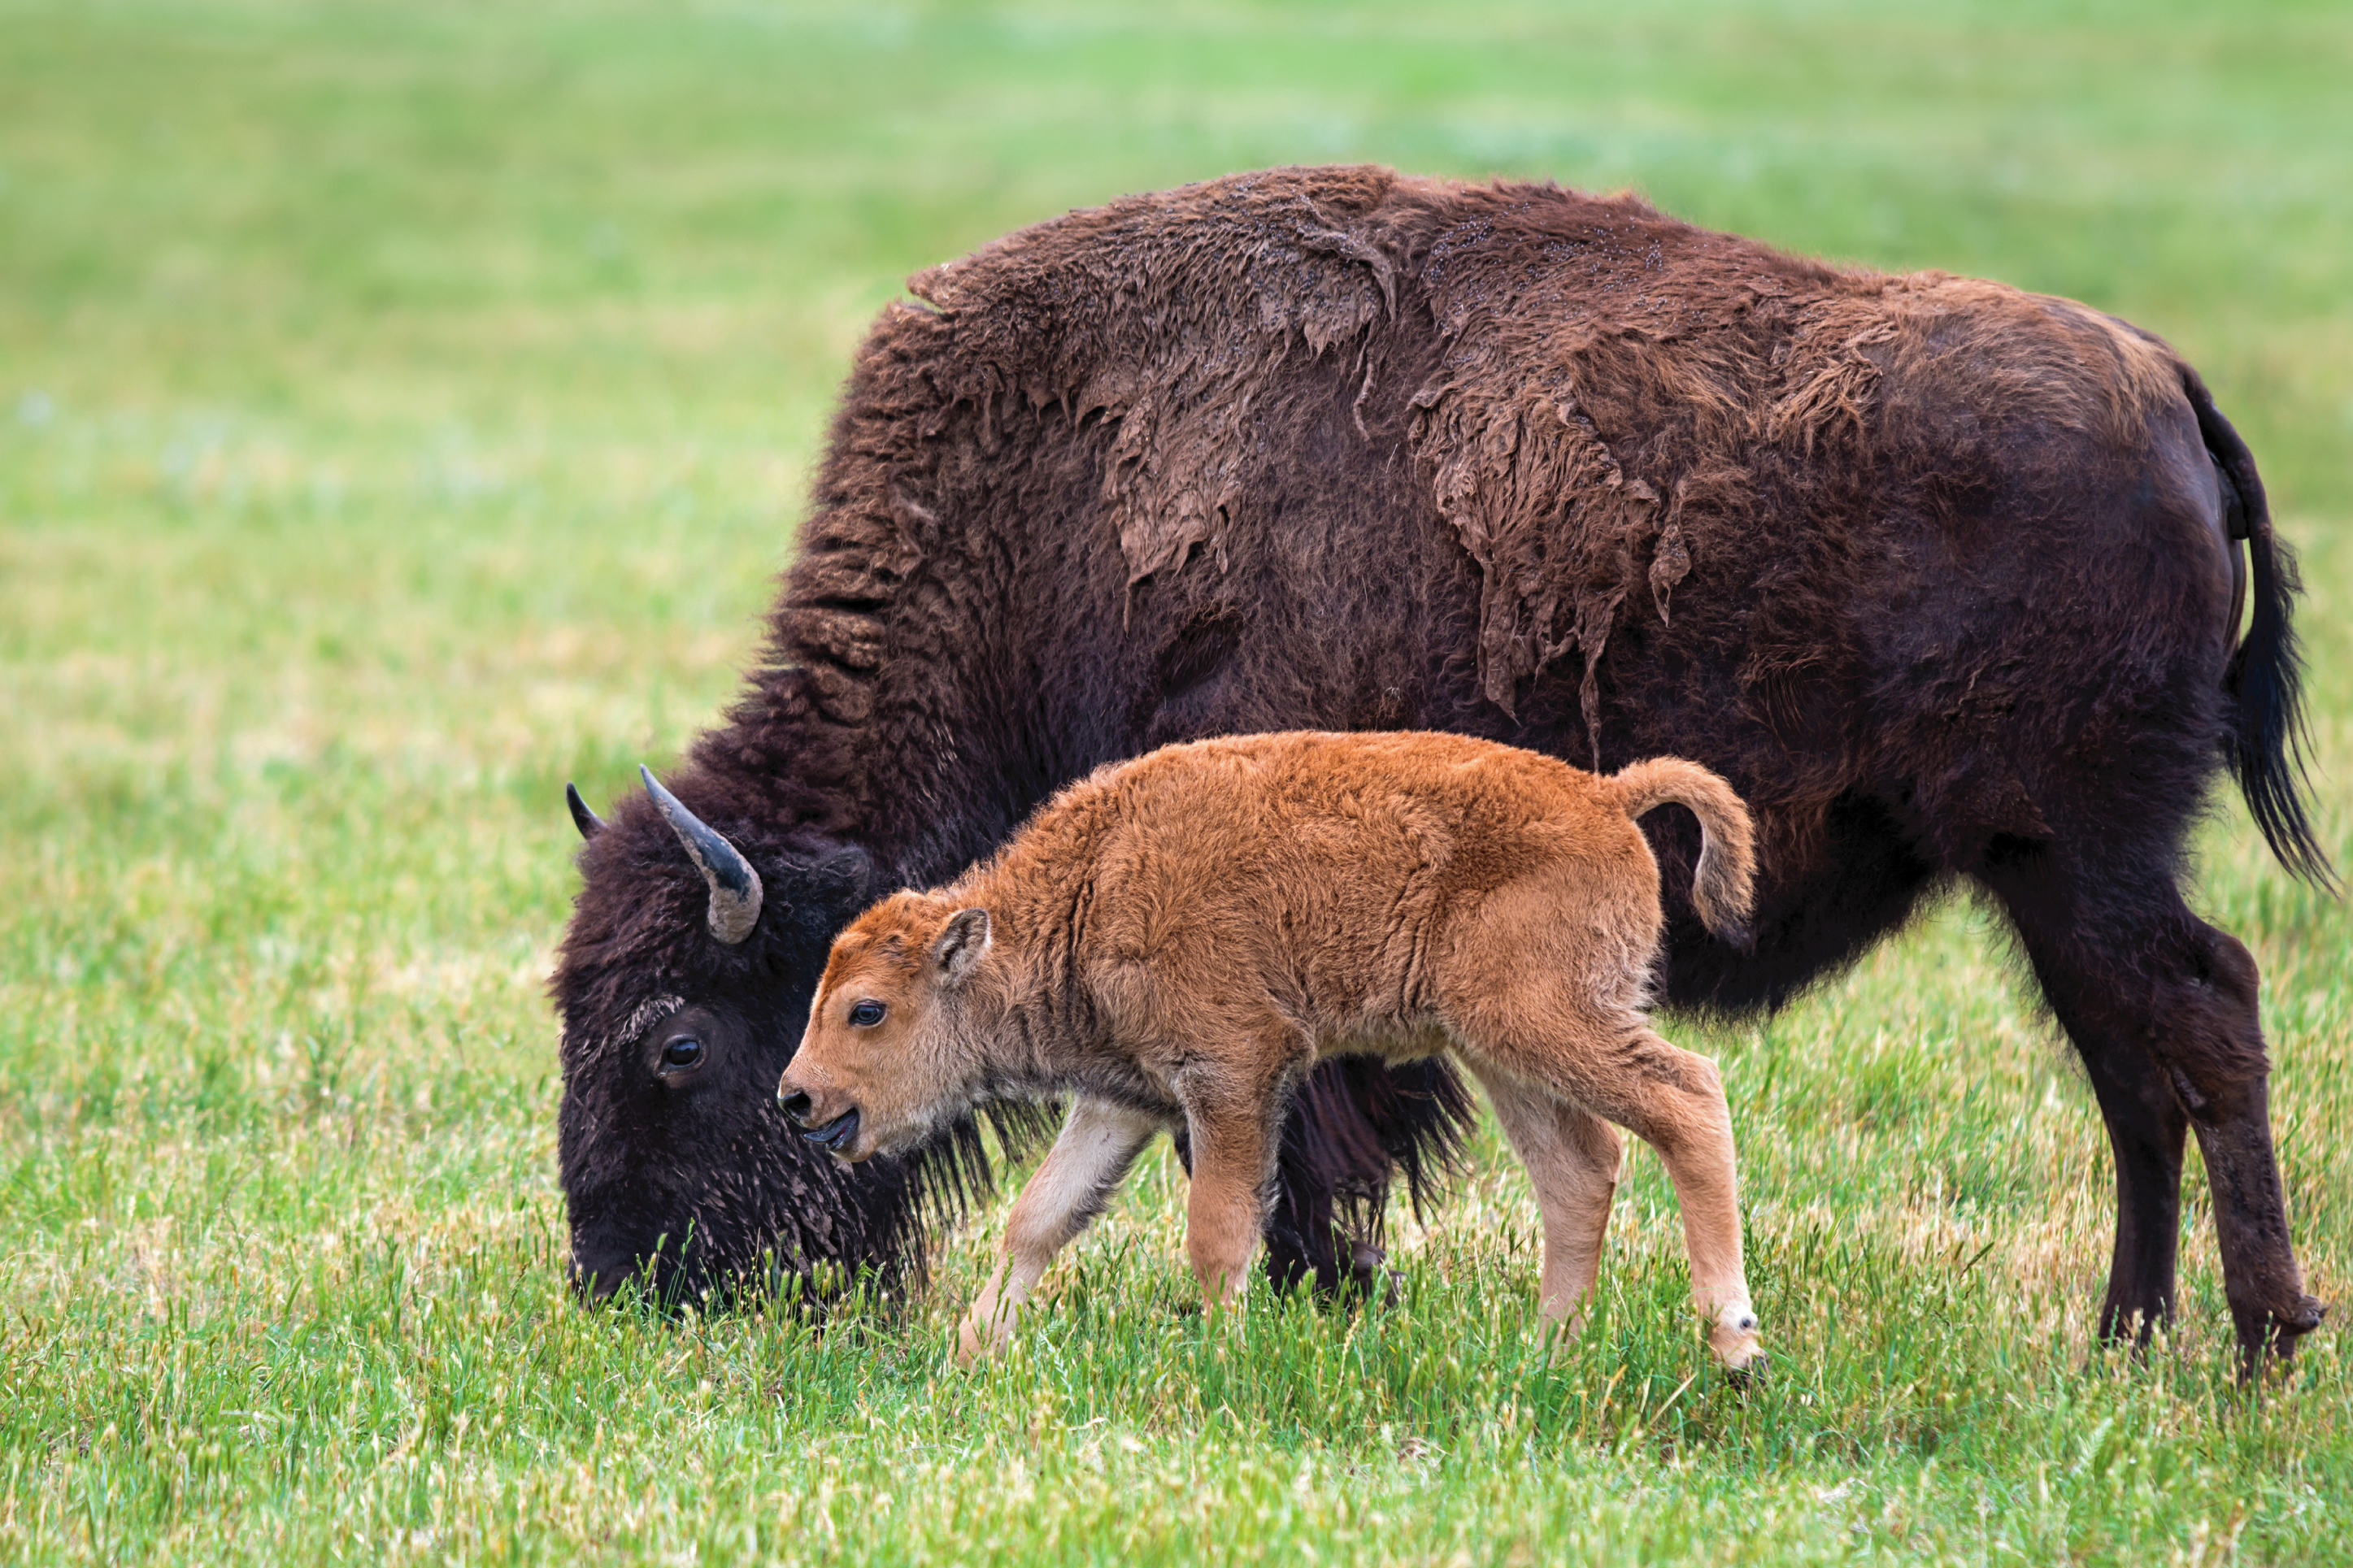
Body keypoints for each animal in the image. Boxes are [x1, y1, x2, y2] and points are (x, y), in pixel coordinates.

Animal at [781, 728, 1759, 1363]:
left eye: (866, 1010)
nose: (796, 1097)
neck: (1089, 886)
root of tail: (1604, 797)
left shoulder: (1233, 1074)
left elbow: (1216, 1231)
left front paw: (1221, 1358)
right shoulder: (1124, 1098)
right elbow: (1039, 1218)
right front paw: (970, 1353)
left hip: (1548, 1024)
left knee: (1686, 1100)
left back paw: (1734, 1345)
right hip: (1502, 1052)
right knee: (1577, 1171)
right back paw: (1545, 1353)